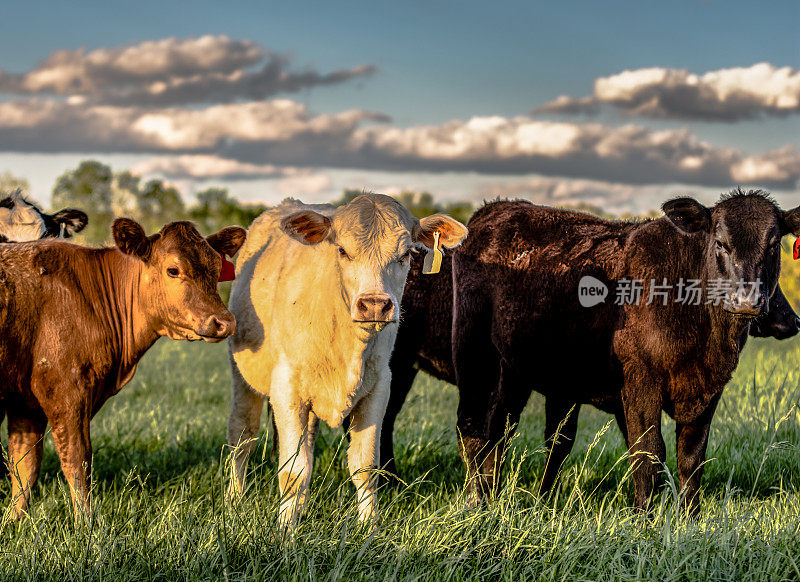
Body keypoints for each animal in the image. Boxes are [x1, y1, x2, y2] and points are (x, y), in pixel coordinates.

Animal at [0, 219, 245, 520]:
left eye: (216, 268)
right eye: (173, 270)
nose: (224, 322)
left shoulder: (25, 402)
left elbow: (24, 468)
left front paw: (14, 522)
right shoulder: (66, 391)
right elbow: (77, 462)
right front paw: (86, 525)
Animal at [225, 194, 466, 528]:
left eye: (406, 253)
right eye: (341, 250)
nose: (375, 304)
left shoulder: (379, 388)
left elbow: (365, 467)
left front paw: (370, 527)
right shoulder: (287, 388)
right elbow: (292, 471)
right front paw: (285, 530)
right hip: (243, 377)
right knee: (242, 437)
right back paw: (234, 501)